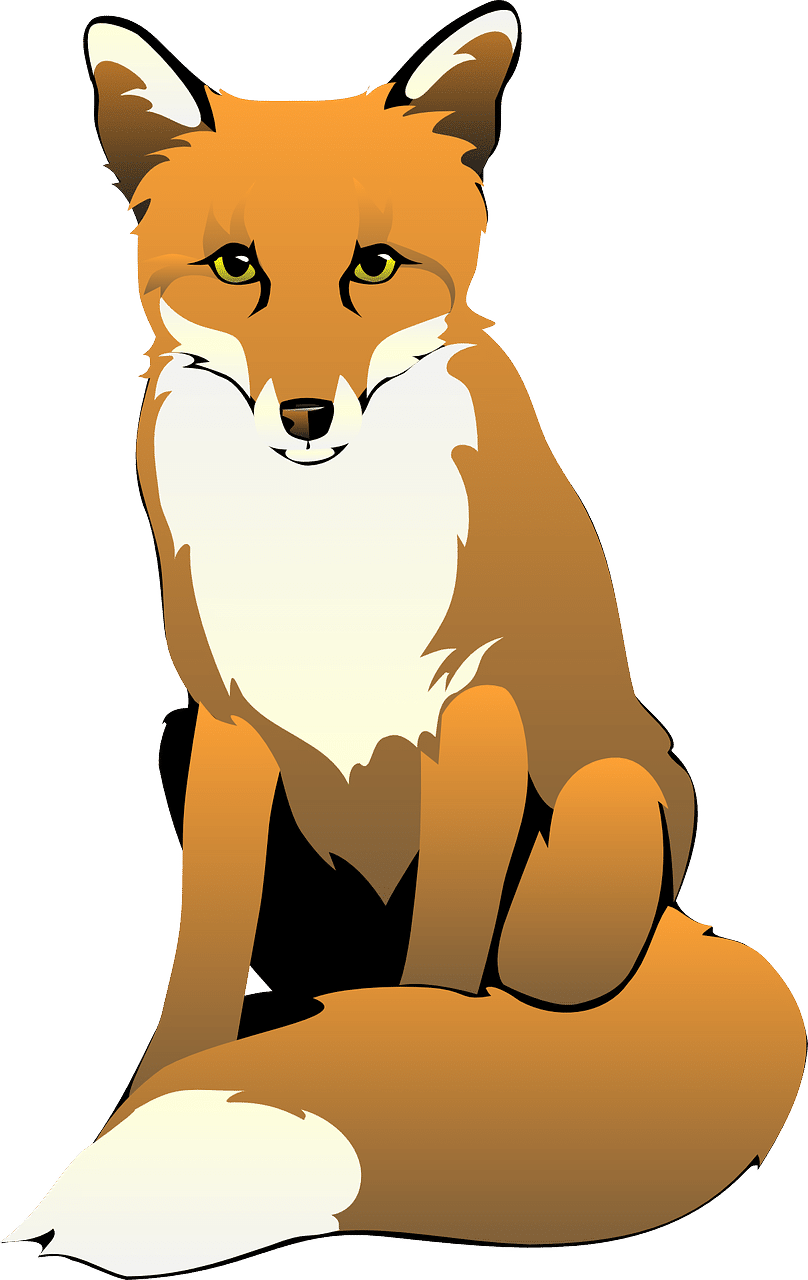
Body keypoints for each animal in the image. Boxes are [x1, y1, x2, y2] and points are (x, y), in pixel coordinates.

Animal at [3, 3, 804, 1275]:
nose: (305, 414)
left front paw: (425, 1076)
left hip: (602, 819)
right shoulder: (224, 724)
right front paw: (150, 1092)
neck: (327, 554)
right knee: (320, 987)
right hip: (178, 746)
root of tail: (694, 926)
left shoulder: (473, 721)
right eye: (237, 268)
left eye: (372, 268)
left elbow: (438, 979)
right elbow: (199, 964)